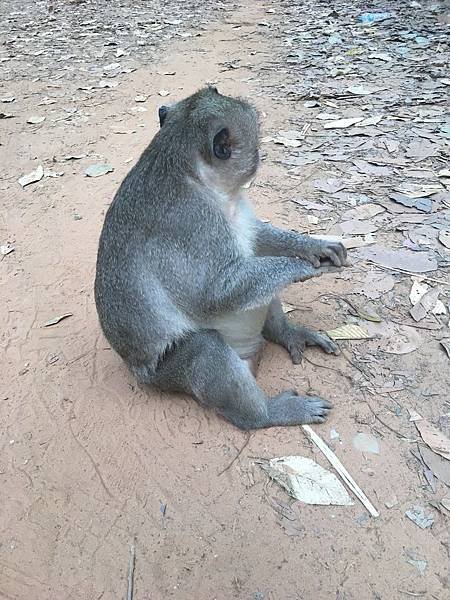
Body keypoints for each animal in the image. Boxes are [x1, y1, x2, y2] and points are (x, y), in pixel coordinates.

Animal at [95, 86, 348, 428]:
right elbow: (212, 294)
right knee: (206, 347)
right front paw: (301, 267)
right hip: (165, 374)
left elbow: (256, 240)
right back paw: (266, 413)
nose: (260, 157)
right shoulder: (192, 224)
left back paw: (285, 333)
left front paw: (312, 246)